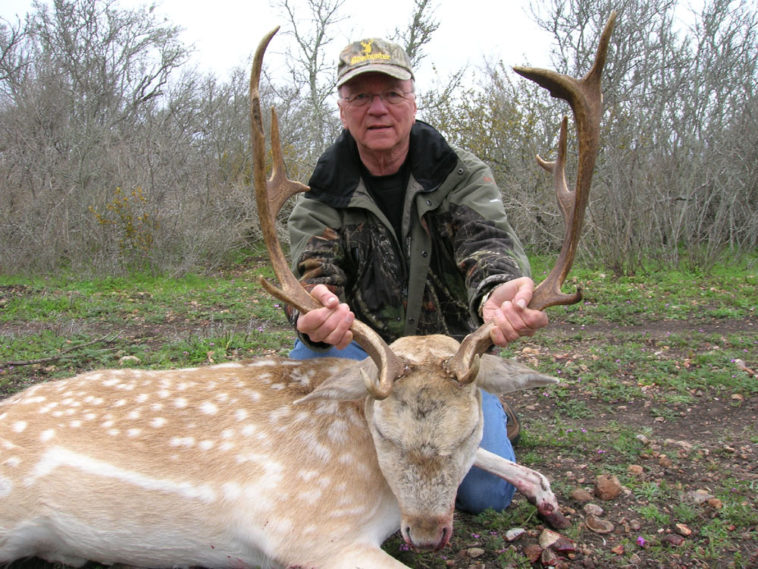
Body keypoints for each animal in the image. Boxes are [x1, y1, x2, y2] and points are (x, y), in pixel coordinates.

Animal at [0, 13, 615, 569]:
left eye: (467, 431)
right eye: (383, 433)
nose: (425, 534)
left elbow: (509, 461)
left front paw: (546, 495)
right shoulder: (309, 531)